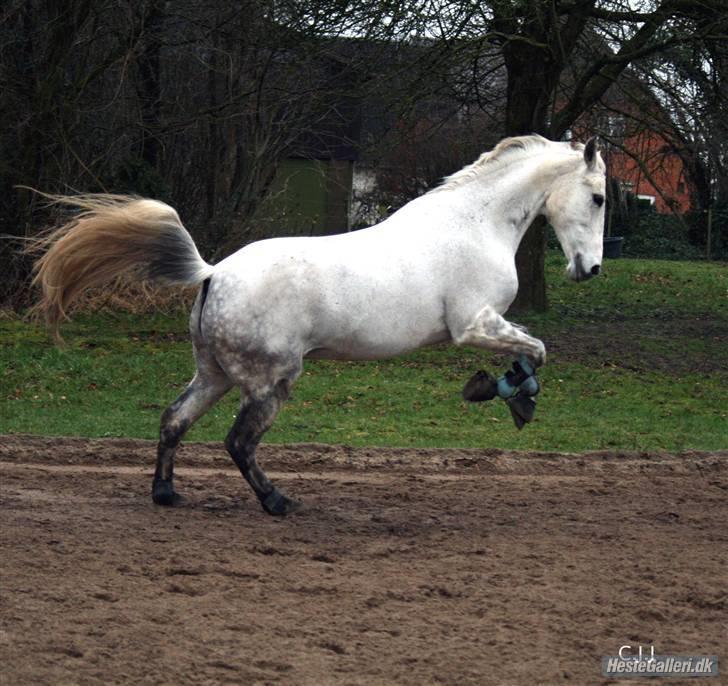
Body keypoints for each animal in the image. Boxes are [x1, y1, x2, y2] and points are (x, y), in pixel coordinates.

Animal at [31, 134, 606, 516]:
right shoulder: (476, 324)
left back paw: (167, 494)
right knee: (238, 443)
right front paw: (507, 395)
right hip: (270, 382)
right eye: (599, 197)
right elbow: (536, 351)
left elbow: (531, 350)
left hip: (214, 374)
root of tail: (214, 273)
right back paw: (278, 501)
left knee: (175, 420)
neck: (475, 224)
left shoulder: (484, 325)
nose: (591, 269)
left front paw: (500, 391)